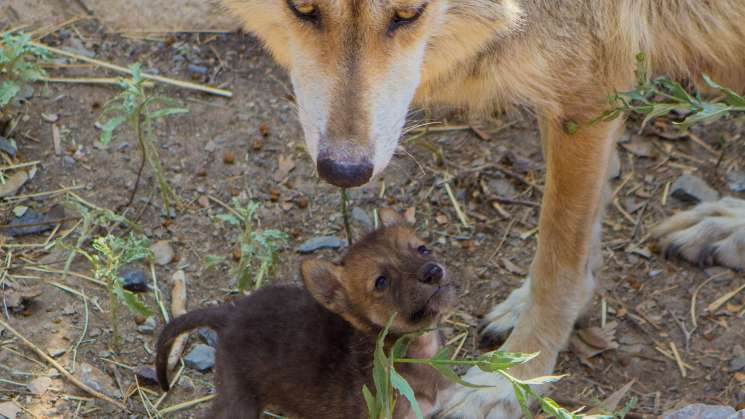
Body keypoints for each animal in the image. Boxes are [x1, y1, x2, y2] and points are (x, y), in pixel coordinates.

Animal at [222, 0, 745, 417]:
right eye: (303, 9)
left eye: (408, 14)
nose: (344, 170)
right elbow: (579, 242)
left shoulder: (591, 82)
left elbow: (559, 259)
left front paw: (513, 379)